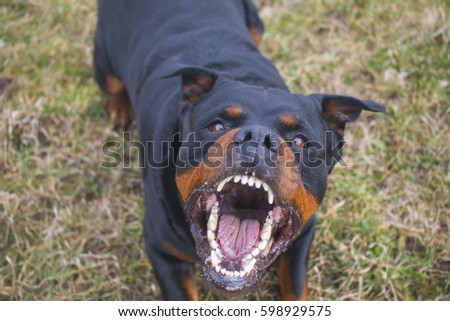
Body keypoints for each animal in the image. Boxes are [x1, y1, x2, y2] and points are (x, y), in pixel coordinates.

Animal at [93, 0, 384, 300]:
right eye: (217, 126)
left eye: (300, 141)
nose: (257, 137)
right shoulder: (162, 250)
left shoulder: (303, 235)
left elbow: (296, 289)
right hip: (104, 63)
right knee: (112, 83)